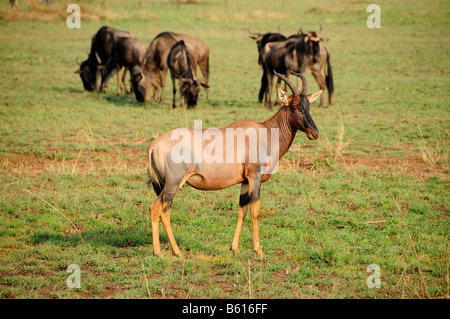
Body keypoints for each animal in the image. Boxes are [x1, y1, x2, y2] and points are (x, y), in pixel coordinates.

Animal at [147, 70, 320, 258]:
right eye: (295, 105)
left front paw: (234, 248)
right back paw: (165, 252)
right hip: (173, 183)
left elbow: (241, 211)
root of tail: (154, 144)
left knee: (164, 210)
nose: (314, 133)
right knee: (157, 209)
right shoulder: (255, 177)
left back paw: (171, 251)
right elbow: (255, 211)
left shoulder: (245, 181)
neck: (265, 131)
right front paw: (258, 249)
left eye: (308, 106)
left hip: (165, 183)